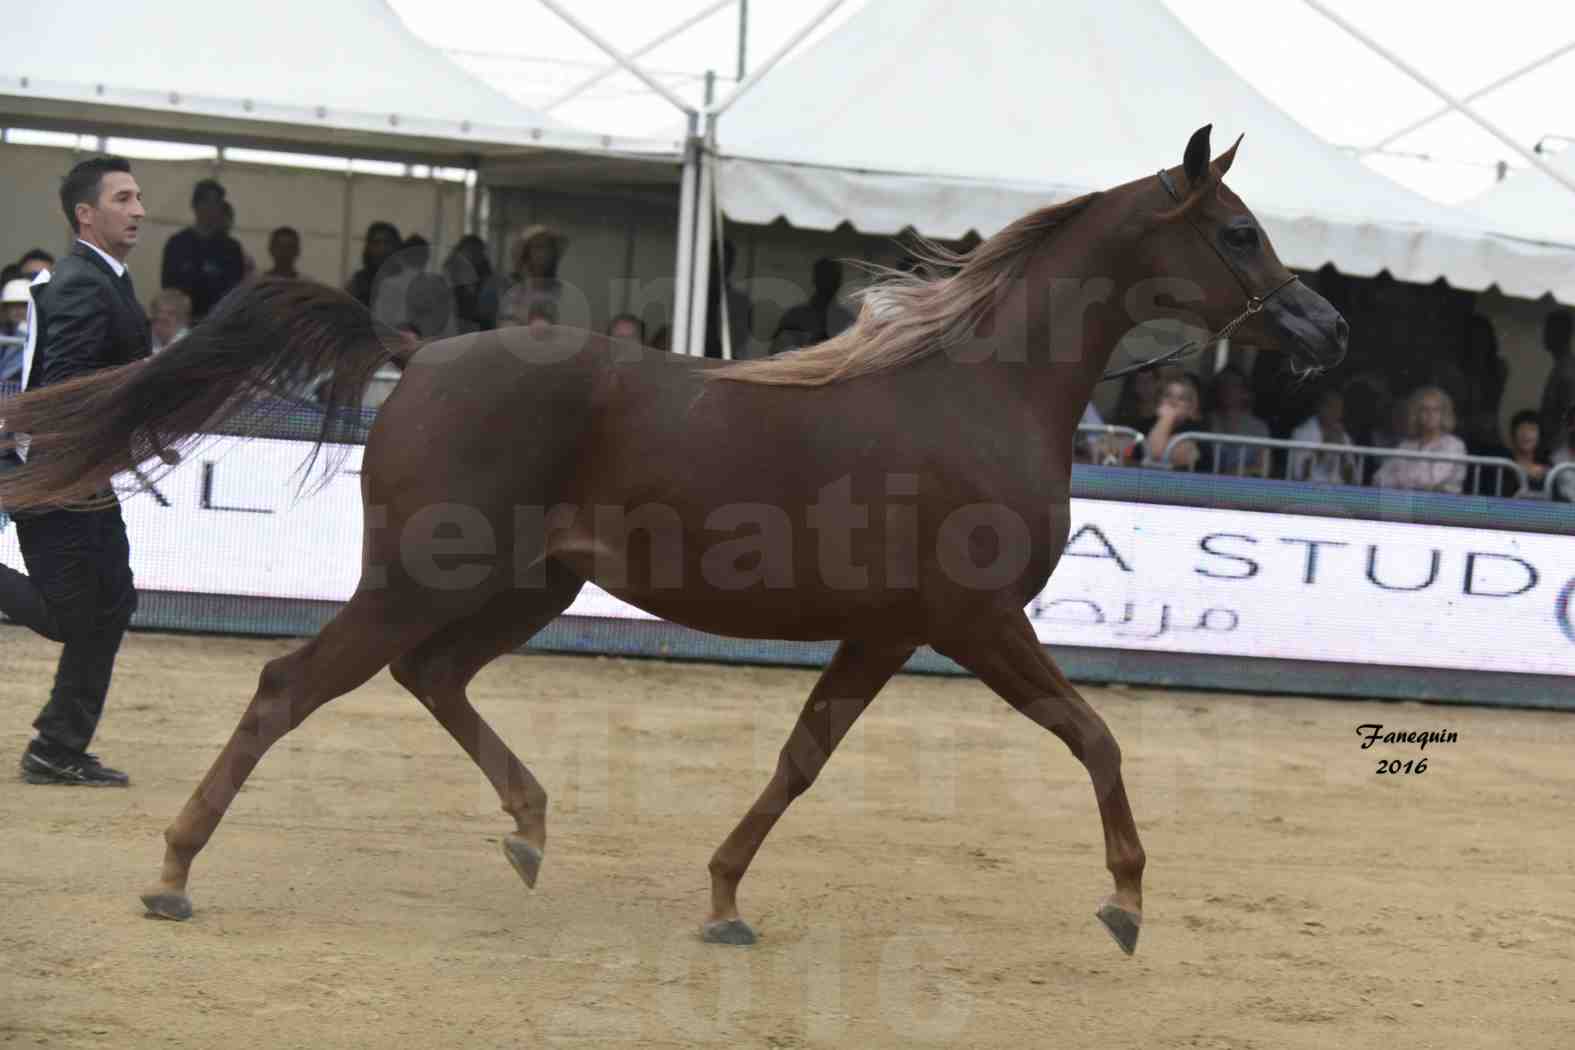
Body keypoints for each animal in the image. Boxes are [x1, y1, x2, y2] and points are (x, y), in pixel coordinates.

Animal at [6, 127, 1348, 957]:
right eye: (1236, 229)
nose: (1326, 327)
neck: (978, 388)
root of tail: (418, 353)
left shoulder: (887, 632)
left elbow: (801, 760)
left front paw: (723, 901)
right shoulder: (972, 624)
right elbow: (1095, 737)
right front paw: (1126, 902)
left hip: (527, 587)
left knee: (430, 677)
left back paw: (529, 830)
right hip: (424, 577)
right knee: (293, 683)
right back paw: (174, 874)